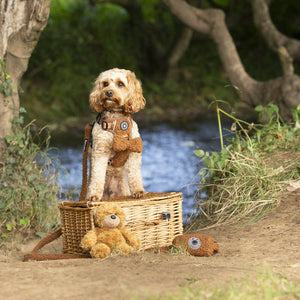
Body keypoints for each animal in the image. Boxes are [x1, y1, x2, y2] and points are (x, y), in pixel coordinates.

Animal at [85, 67, 146, 199]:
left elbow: (135, 174)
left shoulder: (133, 149)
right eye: (105, 84)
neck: (116, 121)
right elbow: (97, 174)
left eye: (120, 84)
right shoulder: (100, 151)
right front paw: (94, 195)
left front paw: (139, 191)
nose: (108, 92)